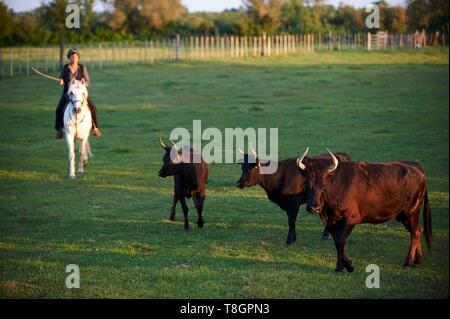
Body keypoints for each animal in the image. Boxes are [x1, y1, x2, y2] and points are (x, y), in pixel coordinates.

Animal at [298, 149, 430, 274]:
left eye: (323, 185)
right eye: (305, 183)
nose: (313, 208)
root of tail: (415, 165)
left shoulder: (351, 218)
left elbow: (340, 241)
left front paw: (349, 265)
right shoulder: (333, 221)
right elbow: (337, 242)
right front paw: (339, 268)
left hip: (411, 211)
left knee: (415, 232)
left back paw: (408, 262)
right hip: (403, 215)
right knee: (417, 231)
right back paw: (418, 260)